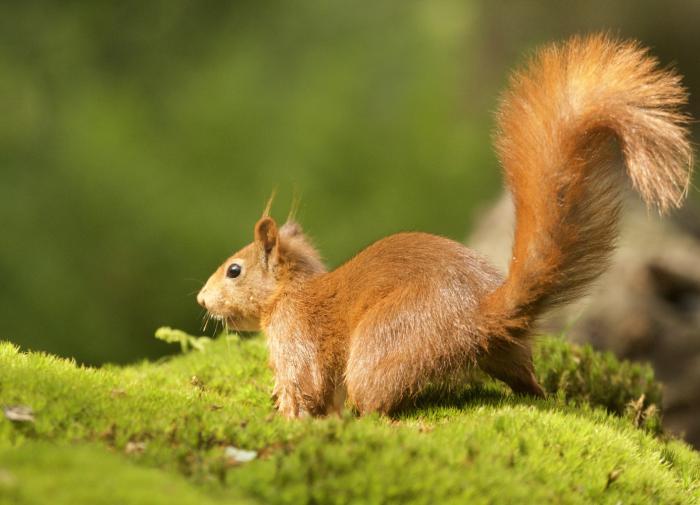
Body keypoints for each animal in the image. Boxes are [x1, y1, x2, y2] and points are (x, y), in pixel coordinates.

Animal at [197, 33, 696, 416]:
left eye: (234, 270)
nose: (201, 299)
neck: (291, 293)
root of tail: (478, 314)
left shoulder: (298, 338)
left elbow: (305, 384)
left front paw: (287, 414)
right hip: (506, 353)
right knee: (527, 381)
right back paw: (542, 396)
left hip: (386, 343)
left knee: (376, 401)